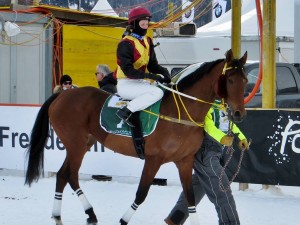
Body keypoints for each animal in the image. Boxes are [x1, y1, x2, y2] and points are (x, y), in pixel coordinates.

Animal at [24, 49, 248, 225]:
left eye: (245, 80)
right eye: (230, 80)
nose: (239, 114)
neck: (181, 113)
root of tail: (62, 95)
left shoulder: (185, 161)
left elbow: (190, 196)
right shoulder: (153, 159)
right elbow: (141, 193)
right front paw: (124, 220)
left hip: (83, 143)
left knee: (63, 175)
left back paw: (67, 215)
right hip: (76, 145)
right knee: (70, 175)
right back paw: (85, 212)